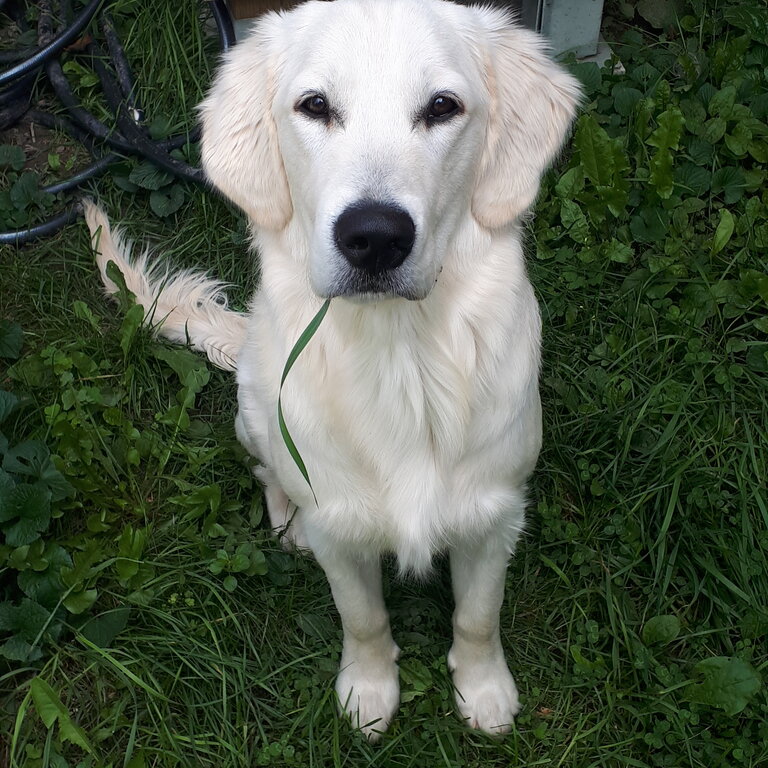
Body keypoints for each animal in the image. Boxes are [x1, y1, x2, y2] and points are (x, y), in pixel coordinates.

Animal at [85, 0, 576, 740]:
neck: (401, 357)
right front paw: (368, 695)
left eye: (442, 107)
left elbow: (476, 616)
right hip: (254, 413)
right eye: (315, 105)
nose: (374, 236)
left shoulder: (494, 513)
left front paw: (484, 692)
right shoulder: (341, 528)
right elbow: (364, 619)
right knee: (268, 472)